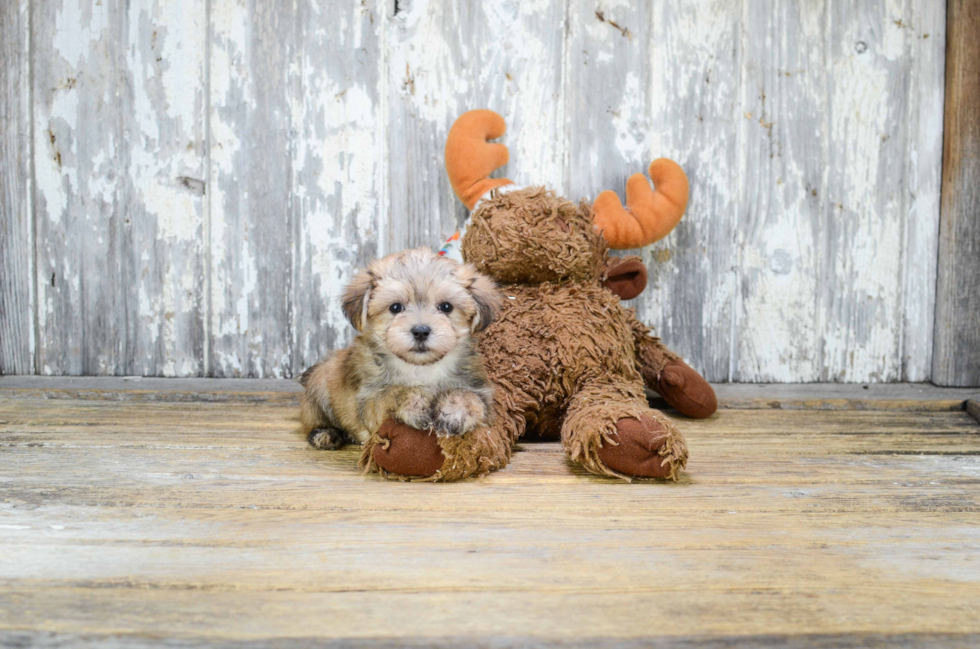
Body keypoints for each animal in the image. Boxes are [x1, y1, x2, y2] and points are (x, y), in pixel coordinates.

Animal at [298, 246, 502, 448]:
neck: (422, 367)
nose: (421, 331)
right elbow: (392, 393)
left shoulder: (481, 393)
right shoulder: (369, 399)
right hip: (321, 387)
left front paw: (455, 409)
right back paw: (325, 434)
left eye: (446, 307)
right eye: (395, 308)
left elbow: (470, 397)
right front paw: (415, 402)